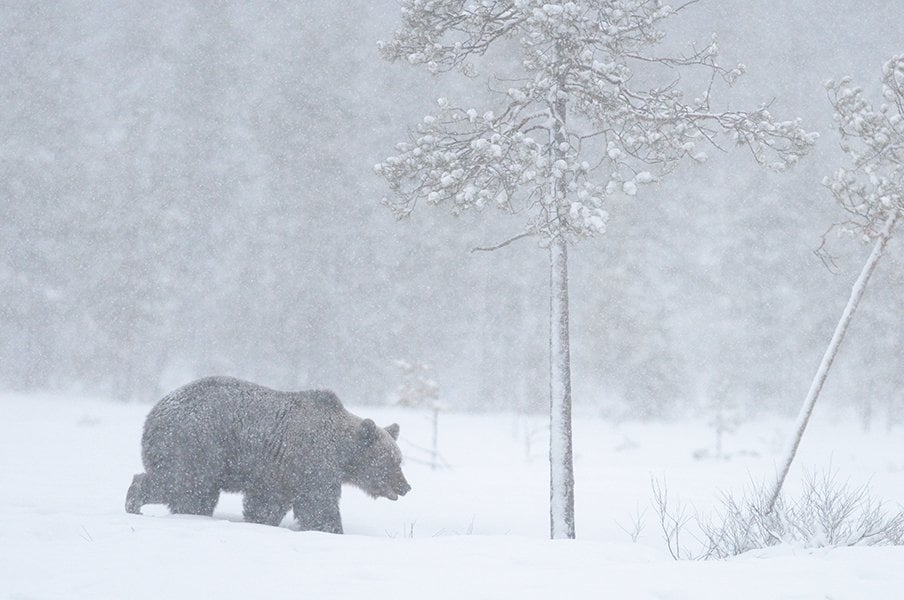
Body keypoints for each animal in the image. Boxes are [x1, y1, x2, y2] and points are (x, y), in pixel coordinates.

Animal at [125, 378, 412, 532]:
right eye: (390, 461)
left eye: (399, 460)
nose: (406, 486)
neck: (341, 453)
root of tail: (154, 413)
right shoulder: (312, 462)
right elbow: (318, 504)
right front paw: (331, 529)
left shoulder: (277, 474)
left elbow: (267, 504)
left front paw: (260, 521)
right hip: (196, 445)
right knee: (182, 484)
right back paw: (137, 503)